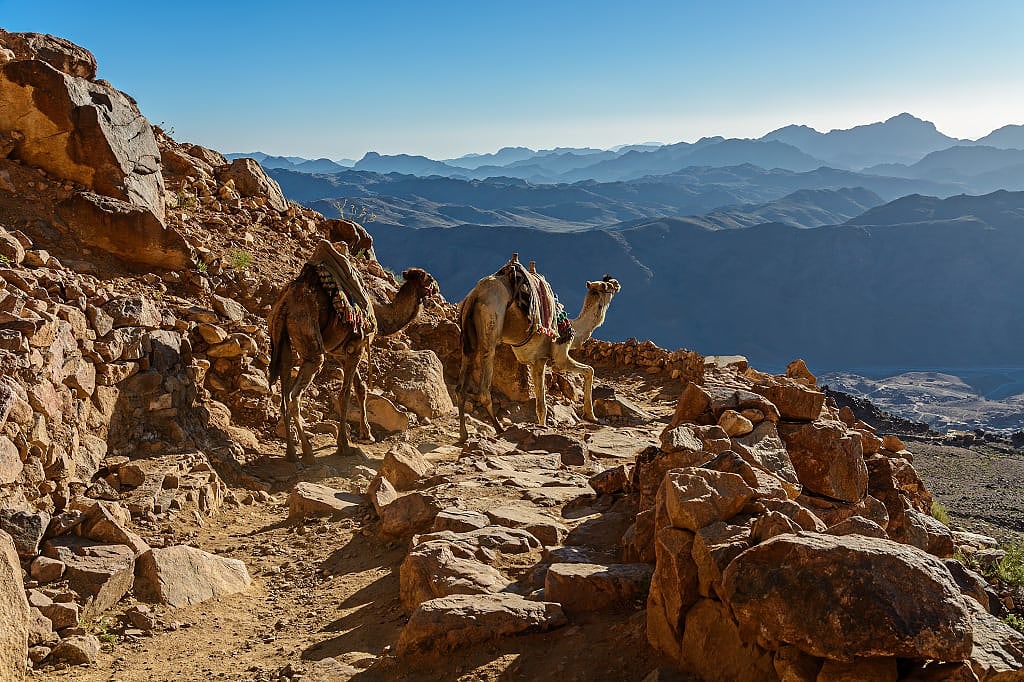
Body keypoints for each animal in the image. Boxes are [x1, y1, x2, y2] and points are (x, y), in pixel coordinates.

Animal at [268, 247, 437, 462]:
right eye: (429, 279)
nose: (437, 288)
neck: (380, 315)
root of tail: (285, 304)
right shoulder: (357, 348)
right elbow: (346, 394)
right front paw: (344, 445)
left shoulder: (342, 352)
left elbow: (360, 388)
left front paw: (367, 435)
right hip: (309, 338)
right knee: (294, 395)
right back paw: (307, 452)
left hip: (282, 341)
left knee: (284, 393)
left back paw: (291, 452)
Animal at [456, 258, 621, 442]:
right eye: (606, 285)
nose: (616, 283)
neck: (573, 330)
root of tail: (476, 293)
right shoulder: (555, 358)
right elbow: (588, 371)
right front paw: (590, 416)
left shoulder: (534, 361)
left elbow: (541, 404)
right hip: (491, 321)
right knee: (484, 387)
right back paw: (499, 429)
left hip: (468, 334)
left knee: (460, 386)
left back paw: (464, 434)